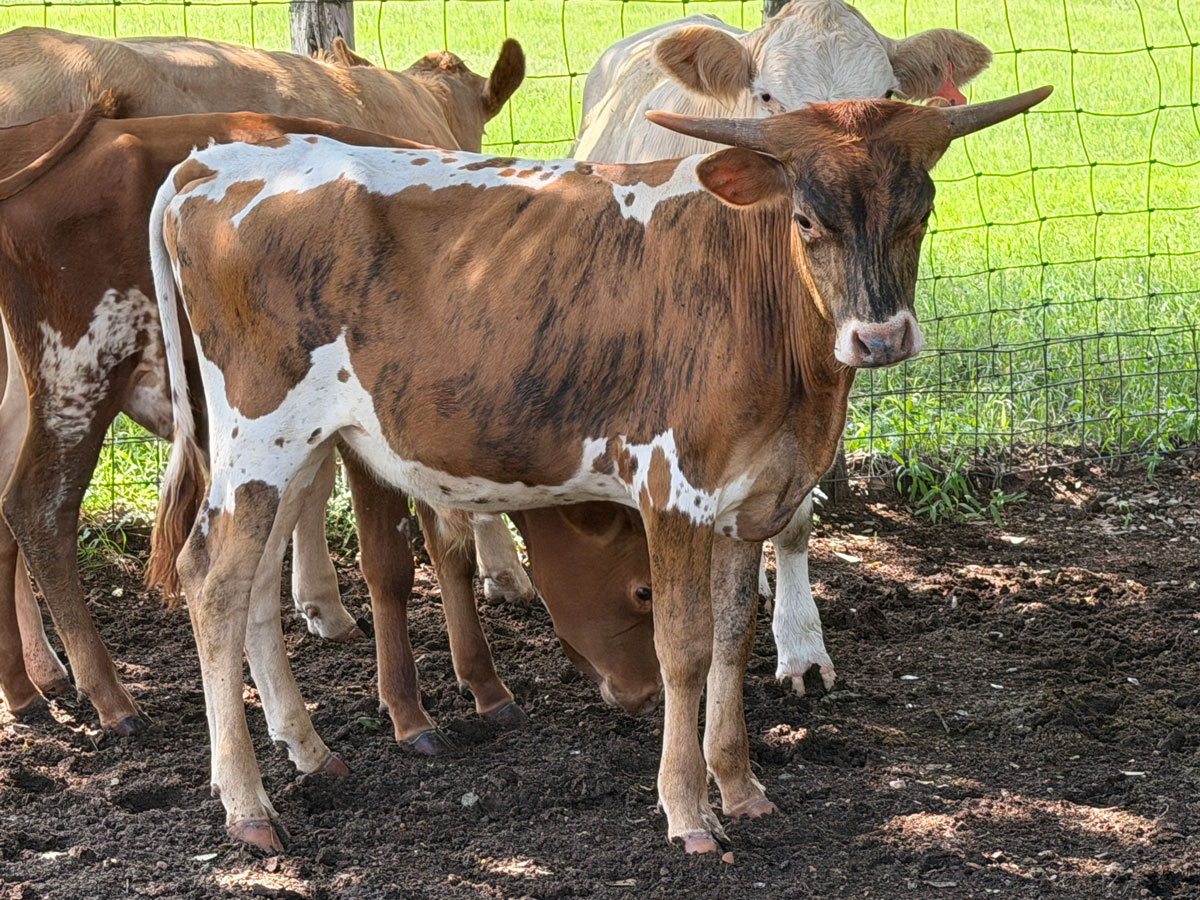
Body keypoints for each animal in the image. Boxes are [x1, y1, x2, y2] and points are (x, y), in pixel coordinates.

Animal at [0, 31, 526, 735]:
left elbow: (445, 544)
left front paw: (480, 679)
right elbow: (391, 560)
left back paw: (28, 683)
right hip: (77, 379)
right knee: (37, 512)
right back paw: (109, 695)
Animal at [146, 86, 1050, 851]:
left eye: (920, 212)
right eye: (804, 219)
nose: (881, 337)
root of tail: (210, 162)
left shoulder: (750, 498)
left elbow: (734, 636)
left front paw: (740, 786)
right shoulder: (675, 486)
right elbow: (684, 647)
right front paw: (687, 810)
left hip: (295, 449)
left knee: (257, 587)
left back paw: (307, 751)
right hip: (258, 437)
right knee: (212, 584)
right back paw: (247, 805)